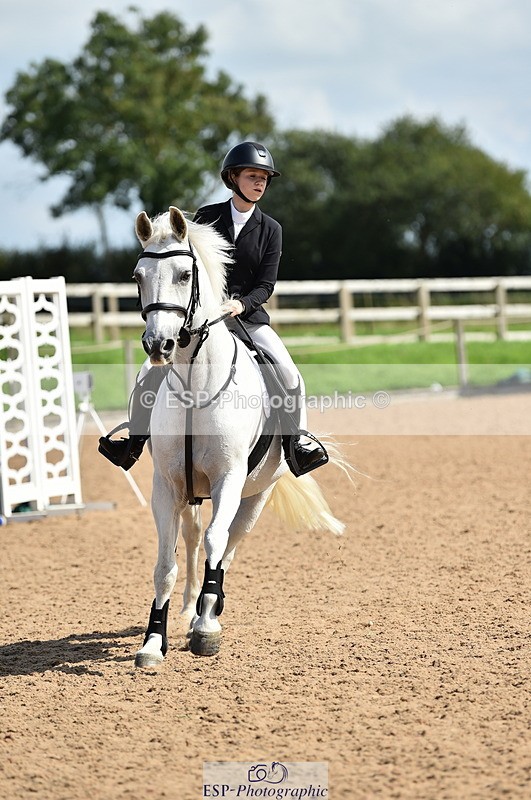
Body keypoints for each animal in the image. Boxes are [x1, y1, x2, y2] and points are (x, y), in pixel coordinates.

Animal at [132, 206, 347, 667]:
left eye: (184, 275)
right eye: (138, 276)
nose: (159, 345)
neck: (196, 385)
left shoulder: (228, 479)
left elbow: (219, 541)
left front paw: (207, 629)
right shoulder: (167, 485)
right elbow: (164, 565)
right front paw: (153, 643)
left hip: (256, 496)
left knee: (228, 543)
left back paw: (207, 611)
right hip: (192, 495)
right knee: (195, 539)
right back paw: (189, 608)